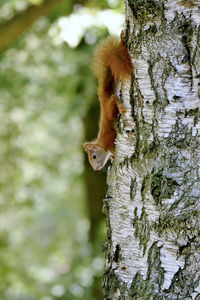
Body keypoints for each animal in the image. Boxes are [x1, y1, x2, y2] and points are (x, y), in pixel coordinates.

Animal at [83, 31, 132, 171]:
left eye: (94, 156)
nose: (96, 169)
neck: (101, 143)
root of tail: (103, 98)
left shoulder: (109, 139)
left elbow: (112, 148)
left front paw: (113, 155)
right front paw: (111, 157)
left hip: (110, 107)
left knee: (114, 98)